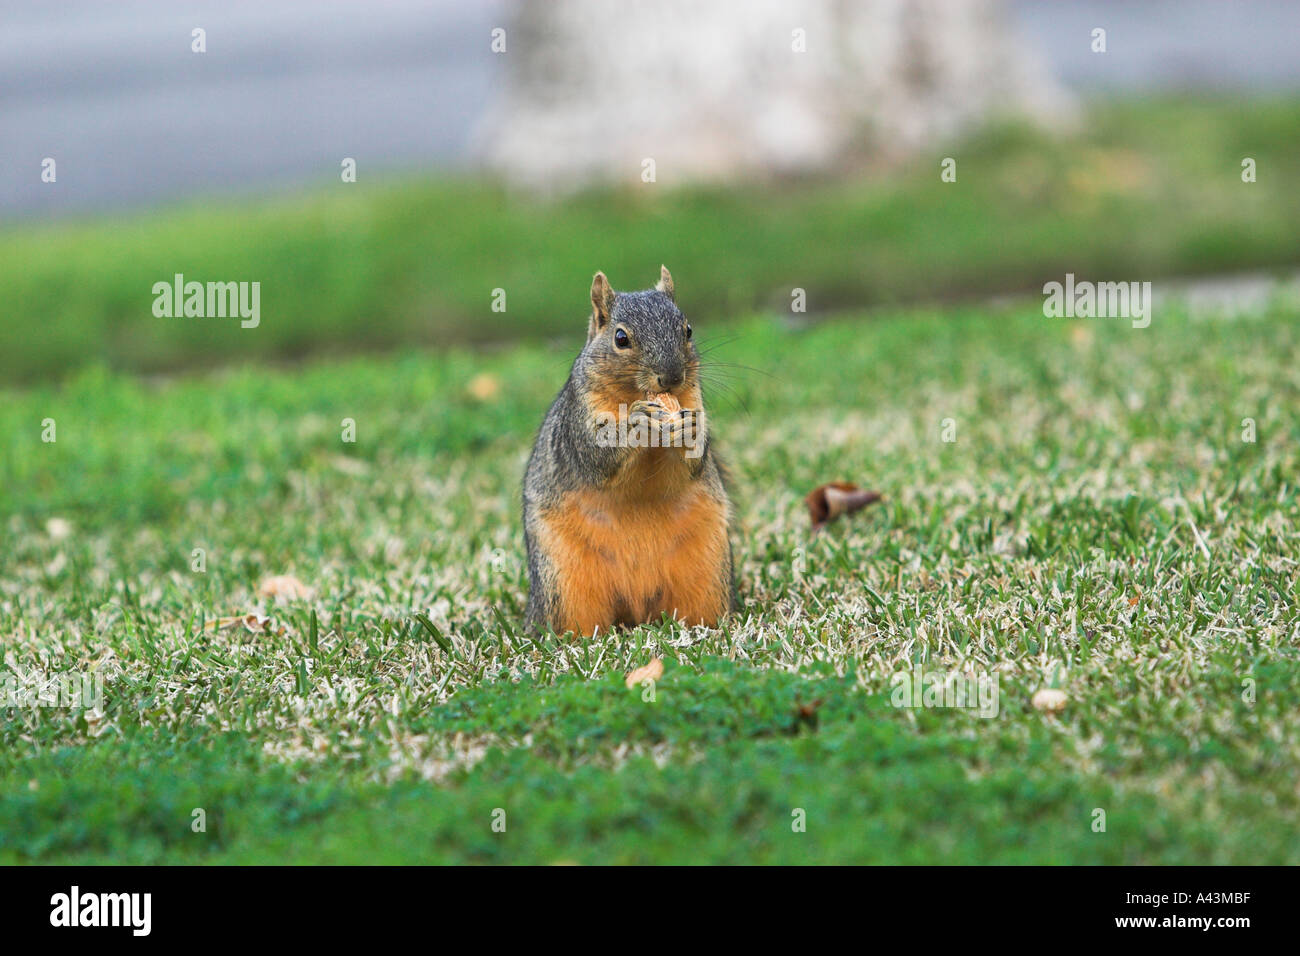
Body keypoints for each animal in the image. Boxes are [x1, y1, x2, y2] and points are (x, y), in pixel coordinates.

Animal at [523, 266, 734, 637]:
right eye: (621, 339)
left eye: (688, 330)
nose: (671, 376)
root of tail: (637, 613)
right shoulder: (579, 423)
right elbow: (597, 456)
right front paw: (637, 422)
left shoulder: (692, 398)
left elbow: (690, 466)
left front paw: (692, 430)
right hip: (562, 582)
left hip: (708, 570)